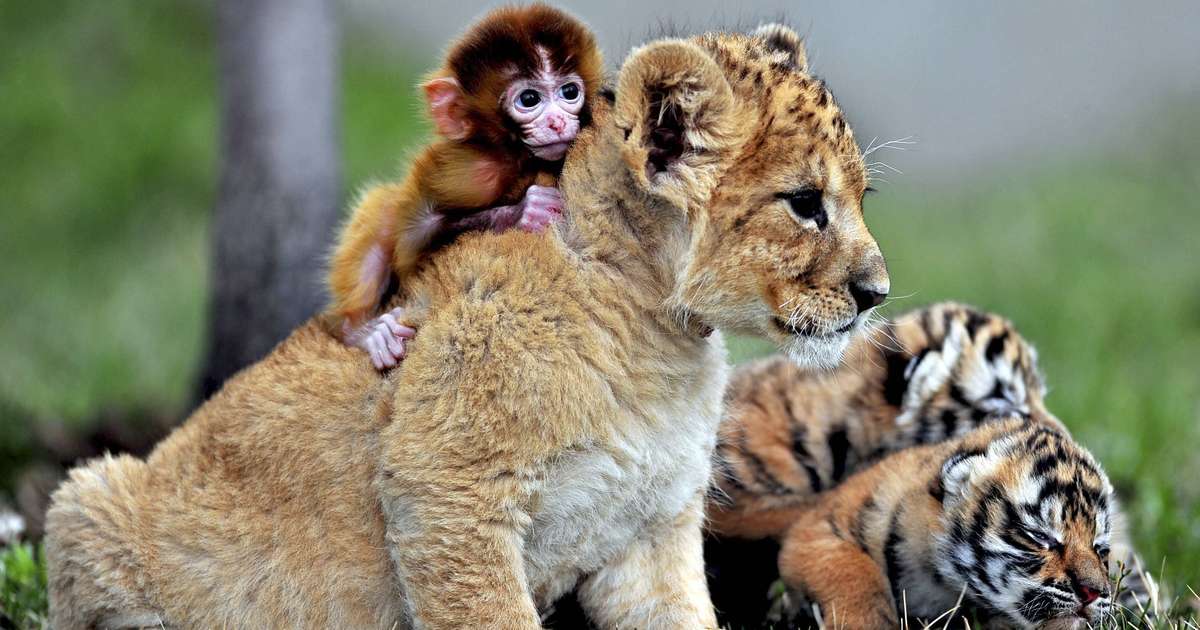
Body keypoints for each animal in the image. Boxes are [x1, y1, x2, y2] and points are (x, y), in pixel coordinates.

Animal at [326, 4, 604, 369]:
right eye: (529, 98)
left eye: (570, 92)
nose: (557, 122)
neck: (518, 158)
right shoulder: (471, 173)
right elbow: (412, 238)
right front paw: (527, 211)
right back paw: (361, 331)